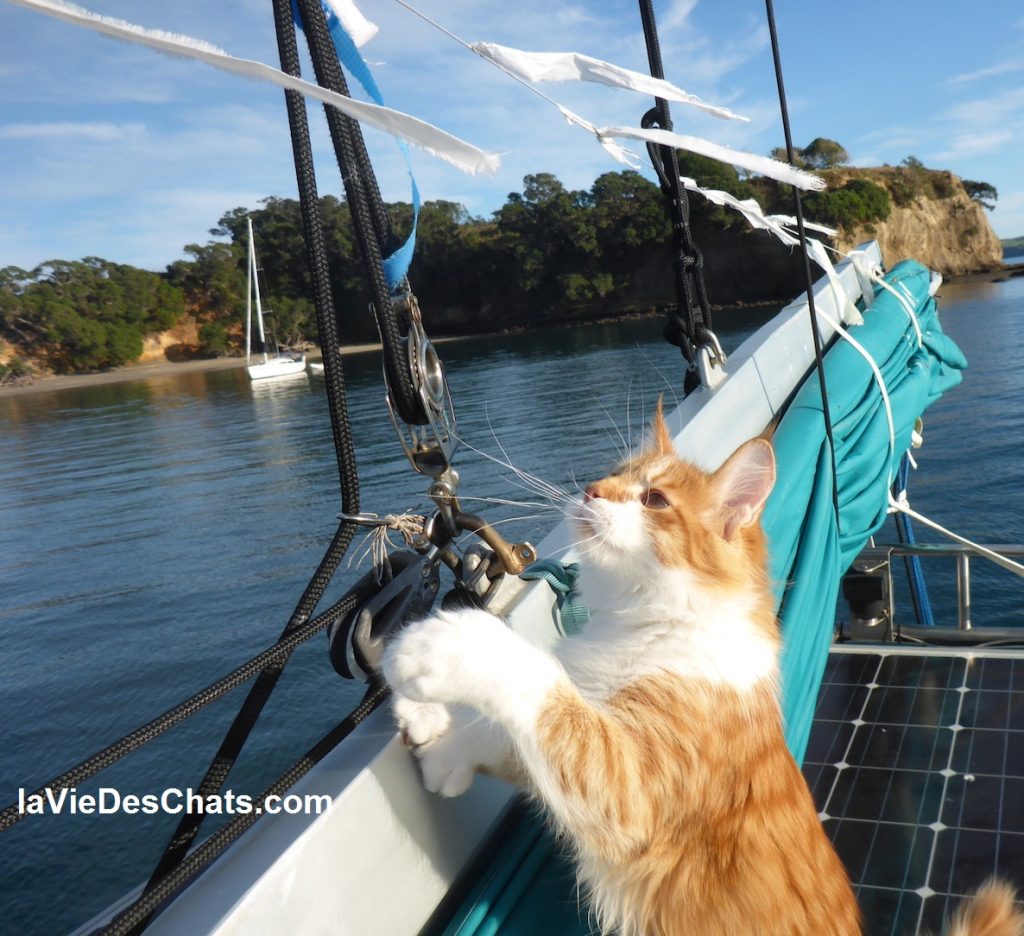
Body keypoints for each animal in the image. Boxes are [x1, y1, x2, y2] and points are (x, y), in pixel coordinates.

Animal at [385, 403, 1024, 933]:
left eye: (654, 500)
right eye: (615, 472)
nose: (591, 490)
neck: (644, 622)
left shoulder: (629, 785)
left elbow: (541, 691)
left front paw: (451, 648)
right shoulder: (591, 721)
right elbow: (518, 733)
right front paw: (440, 735)